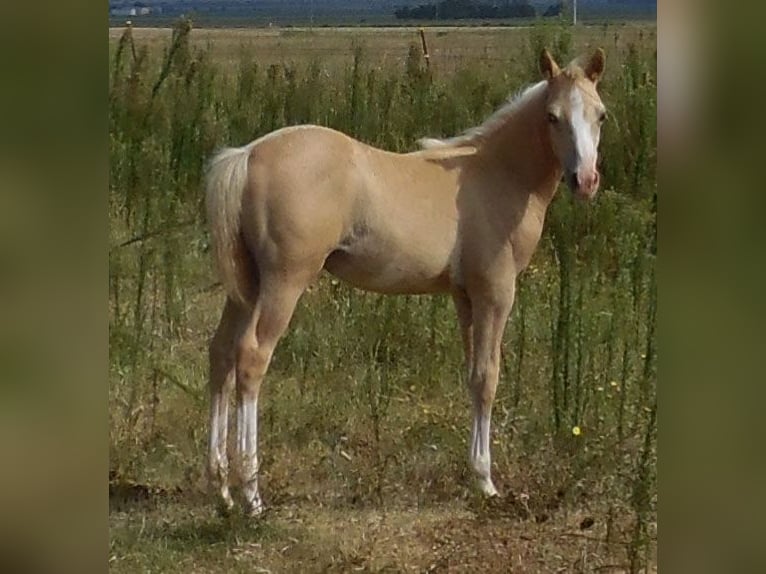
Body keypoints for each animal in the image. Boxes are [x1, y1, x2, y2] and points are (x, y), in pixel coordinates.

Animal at [204, 48, 607, 516]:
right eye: (552, 116)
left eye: (600, 115)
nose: (585, 181)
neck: (497, 172)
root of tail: (247, 154)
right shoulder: (495, 292)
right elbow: (488, 377)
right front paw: (486, 482)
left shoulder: (465, 296)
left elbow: (472, 375)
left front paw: (474, 473)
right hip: (283, 283)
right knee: (251, 357)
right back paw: (251, 494)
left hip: (246, 287)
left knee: (221, 354)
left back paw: (221, 488)